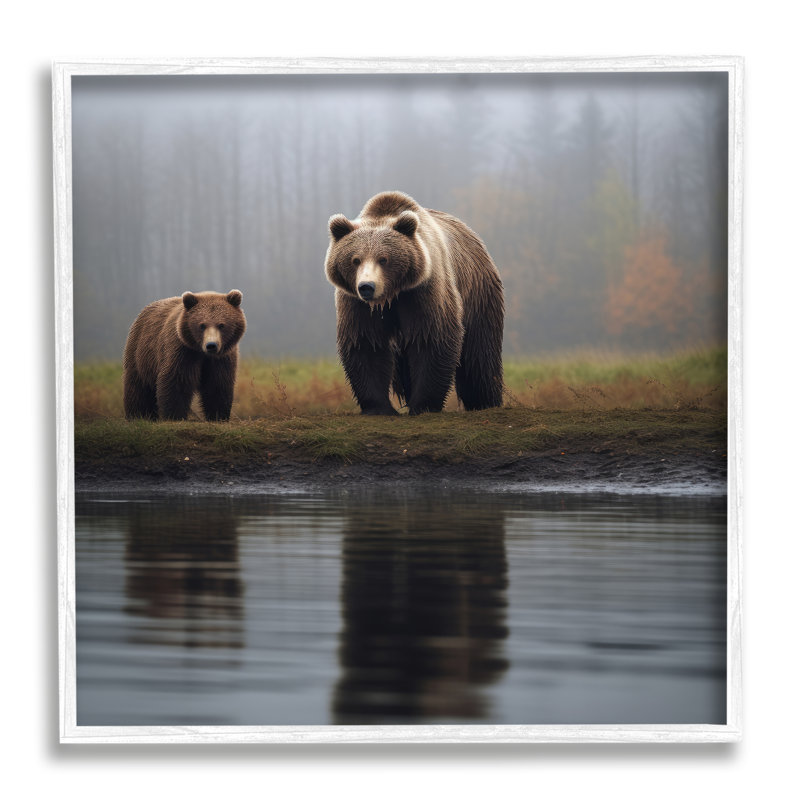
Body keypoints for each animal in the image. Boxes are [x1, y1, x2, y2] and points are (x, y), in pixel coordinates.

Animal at [123, 290, 246, 421]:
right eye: (202, 325)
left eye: (221, 325)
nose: (211, 345)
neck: (201, 352)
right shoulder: (182, 351)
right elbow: (177, 381)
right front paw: (174, 415)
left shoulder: (221, 358)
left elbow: (217, 384)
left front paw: (218, 415)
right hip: (141, 354)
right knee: (138, 388)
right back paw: (138, 415)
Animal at [324, 191, 504, 415]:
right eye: (355, 260)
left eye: (383, 259)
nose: (367, 286)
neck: (391, 295)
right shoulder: (357, 304)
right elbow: (366, 342)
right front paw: (379, 407)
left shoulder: (424, 291)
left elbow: (432, 338)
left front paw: (423, 405)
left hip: (478, 292)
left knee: (480, 353)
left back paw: (485, 401)